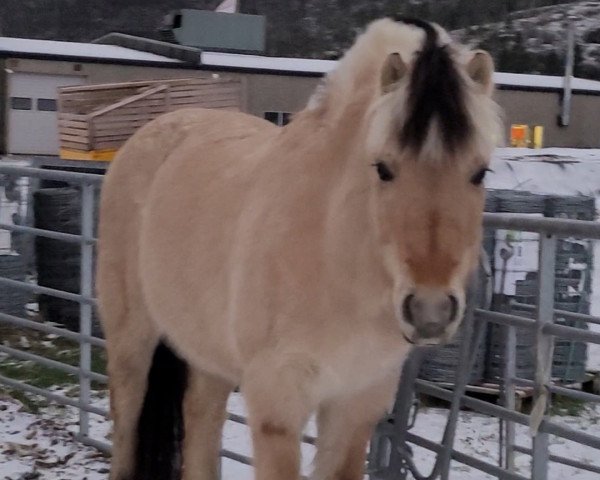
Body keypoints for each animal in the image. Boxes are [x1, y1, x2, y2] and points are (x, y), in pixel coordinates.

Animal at [97, 16, 502, 480]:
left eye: (480, 171)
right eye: (383, 168)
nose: (430, 311)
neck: (332, 257)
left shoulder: (354, 406)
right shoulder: (277, 404)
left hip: (208, 354)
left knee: (200, 419)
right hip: (131, 341)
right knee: (126, 423)